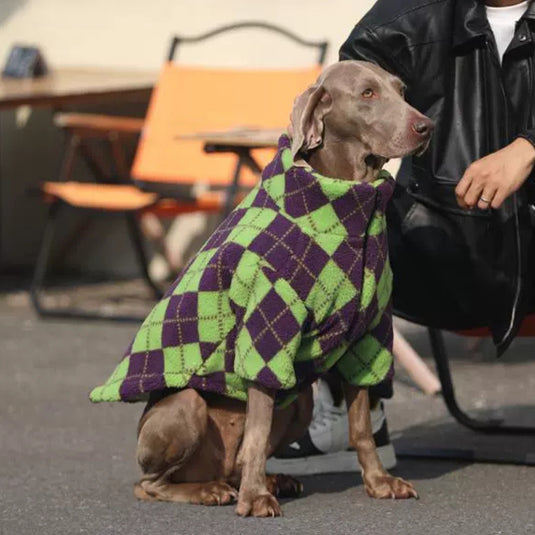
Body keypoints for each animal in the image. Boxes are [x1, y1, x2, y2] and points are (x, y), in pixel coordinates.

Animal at [92, 60, 434, 516]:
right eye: (367, 93)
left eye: (400, 89)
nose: (426, 126)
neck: (348, 205)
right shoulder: (268, 325)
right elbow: (255, 431)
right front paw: (255, 501)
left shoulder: (369, 333)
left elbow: (361, 425)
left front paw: (379, 482)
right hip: (186, 409)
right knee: (150, 484)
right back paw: (213, 491)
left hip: (299, 403)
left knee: (235, 463)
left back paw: (270, 480)